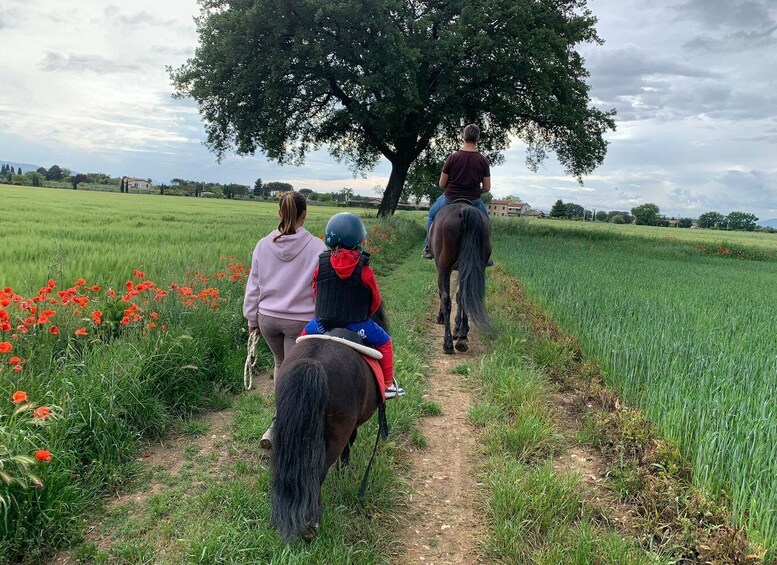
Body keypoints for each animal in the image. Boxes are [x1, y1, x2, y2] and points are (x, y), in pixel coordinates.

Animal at [270, 306, 388, 540]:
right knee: (319, 471)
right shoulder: (351, 427)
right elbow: (348, 448)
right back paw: (311, 525)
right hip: (335, 434)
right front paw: (344, 474)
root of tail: (312, 364)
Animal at [428, 203, 494, 352]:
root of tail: (464, 209)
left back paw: (448, 343)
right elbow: (460, 297)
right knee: (466, 296)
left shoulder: (441, 269)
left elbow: (444, 295)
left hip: (444, 267)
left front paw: (442, 318)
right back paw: (462, 338)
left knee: (446, 299)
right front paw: (458, 330)